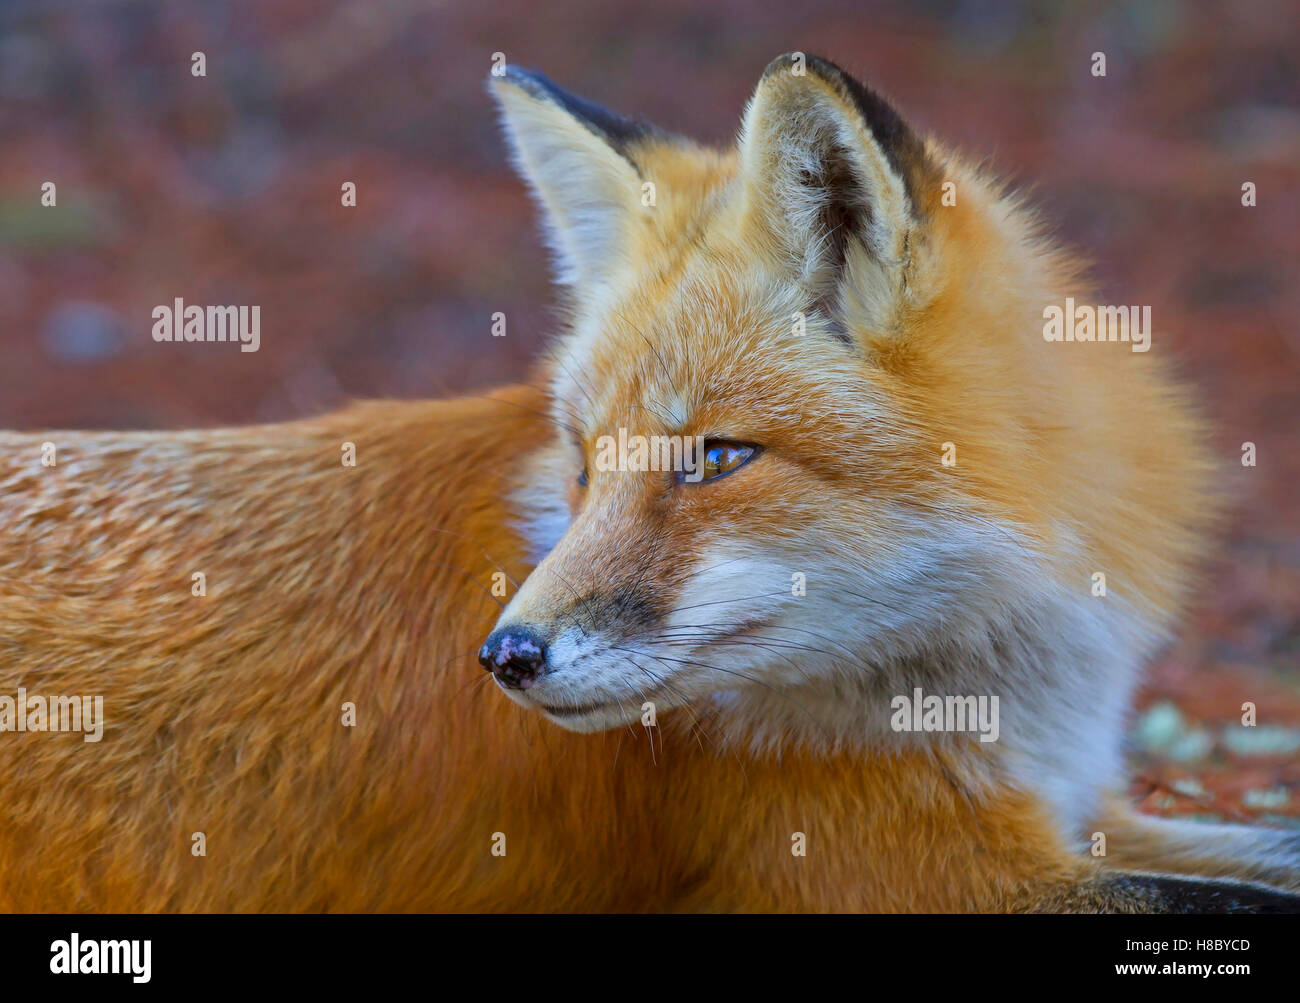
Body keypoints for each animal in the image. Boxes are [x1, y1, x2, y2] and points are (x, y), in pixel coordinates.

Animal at [1, 53, 1297, 913]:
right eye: (583, 468)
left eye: (714, 458)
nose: (505, 657)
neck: (1002, 687)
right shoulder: (895, 866)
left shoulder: (1074, 809)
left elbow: (1269, 850)